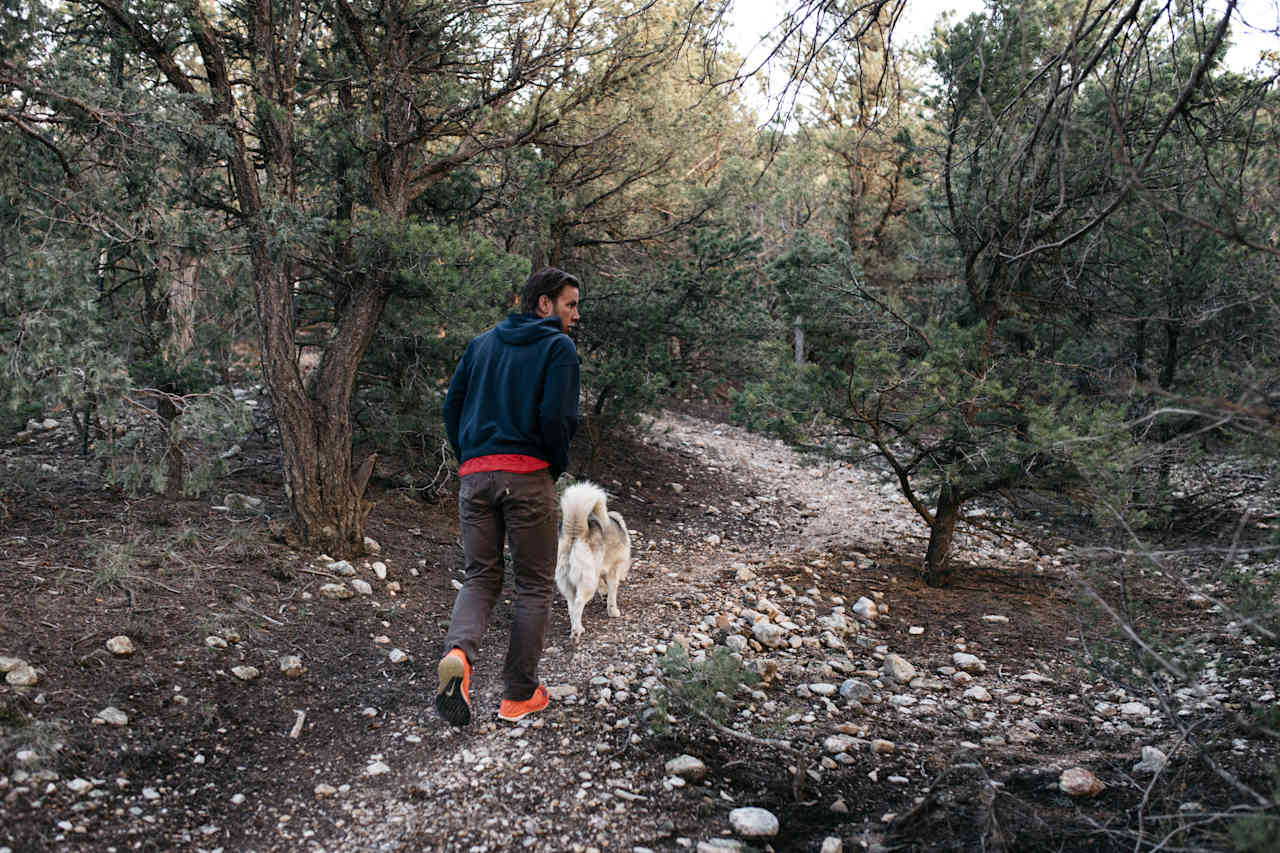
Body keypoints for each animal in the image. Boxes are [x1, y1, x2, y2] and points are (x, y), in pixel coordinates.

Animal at [555, 479, 629, 637]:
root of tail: (577, 533)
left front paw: (604, 594)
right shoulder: (613, 570)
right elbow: (612, 593)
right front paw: (613, 611)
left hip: (567, 581)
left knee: (571, 605)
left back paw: (576, 627)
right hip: (587, 582)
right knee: (578, 604)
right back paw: (577, 630)